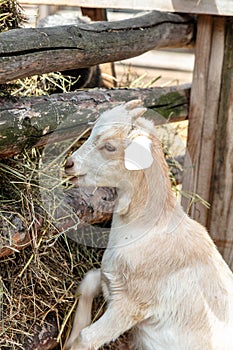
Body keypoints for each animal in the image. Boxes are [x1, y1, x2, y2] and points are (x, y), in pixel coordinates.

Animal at [63, 100, 233, 350]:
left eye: (110, 147)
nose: (69, 164)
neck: (149, 228)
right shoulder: (111, 282)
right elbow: (88, 282)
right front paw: (70, 337)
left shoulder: (131, 305)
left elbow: (87, 337)